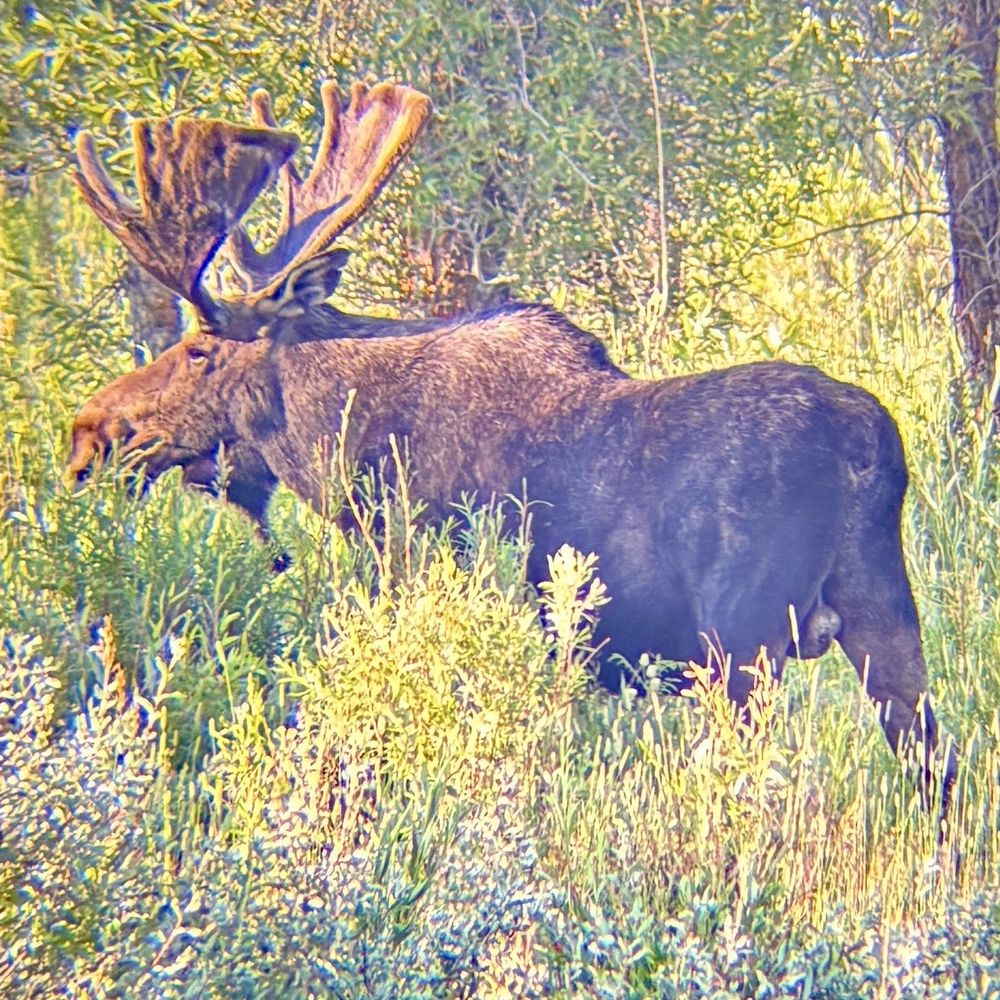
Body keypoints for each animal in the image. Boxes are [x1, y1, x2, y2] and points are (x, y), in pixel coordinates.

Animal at [65, 78, 956, 803]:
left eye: (199, 348)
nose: (87, 437)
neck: (347, 457)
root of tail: (871, 446)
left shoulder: (419, 573)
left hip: (743, 642)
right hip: (884, 615)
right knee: (935, 766)